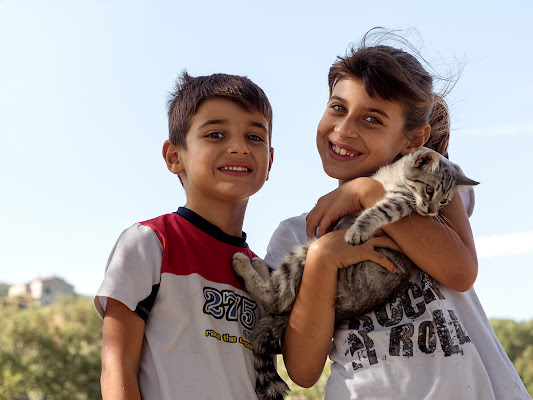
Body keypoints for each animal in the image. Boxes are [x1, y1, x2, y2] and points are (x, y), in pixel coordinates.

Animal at [233, 148, 478, 400]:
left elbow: (377, 211)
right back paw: (257, 264)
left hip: (305, 252)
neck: (396, 177)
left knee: (276, 298)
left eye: (444, 200)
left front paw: (357, 231)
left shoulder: (400, 202)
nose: (432, 211)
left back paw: (244, 263)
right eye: (430, 190)